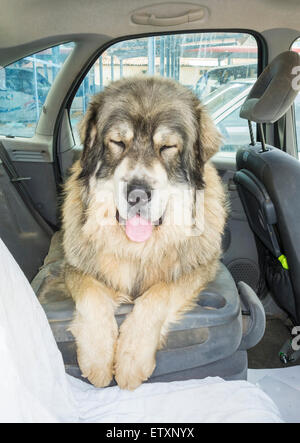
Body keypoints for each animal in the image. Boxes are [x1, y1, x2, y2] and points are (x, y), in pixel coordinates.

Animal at [62, 75, 226, 388]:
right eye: (118, 142)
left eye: (168, 147)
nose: (137, 194)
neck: (137, 247)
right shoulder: (73, 266)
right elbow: (91, 294)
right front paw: (98, 359)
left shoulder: (199, 267)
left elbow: (160, 292)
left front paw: (131, 359)